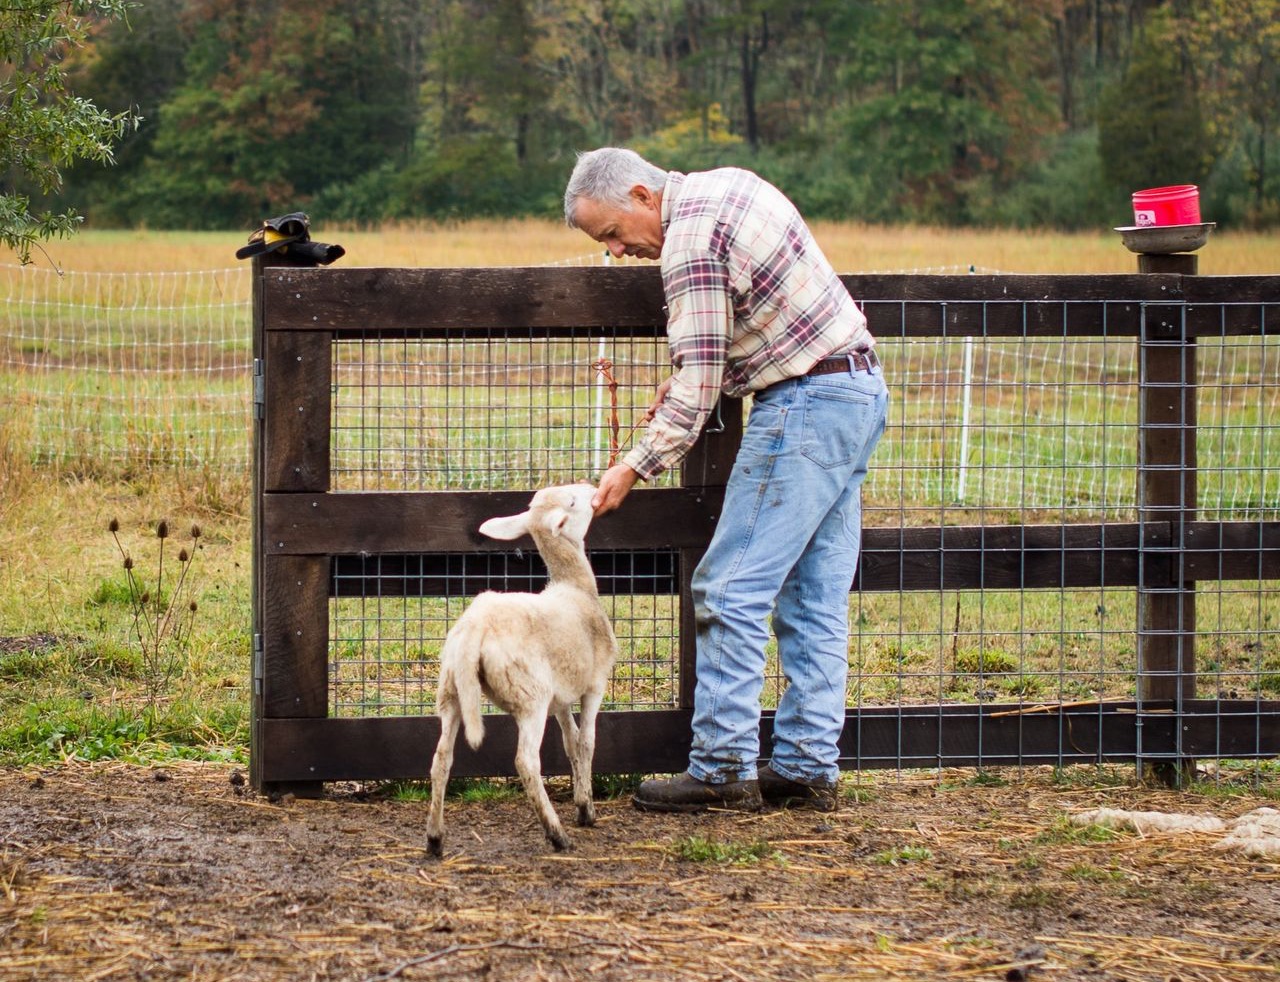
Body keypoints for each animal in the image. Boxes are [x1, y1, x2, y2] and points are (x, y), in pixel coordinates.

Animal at [424, 486, 614, 855]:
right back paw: (556, 834)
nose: (592, 488)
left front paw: (579, 800)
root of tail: (476, 627)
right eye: (573, 501)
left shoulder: (560, 698)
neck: (576, 587)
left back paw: (435, 838)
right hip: (530, 695)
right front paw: (586, 808)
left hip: (451, 690)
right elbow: (587, 742)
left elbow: (570, 743)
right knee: (526, 761)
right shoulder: (594, 685)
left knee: (441, 759)